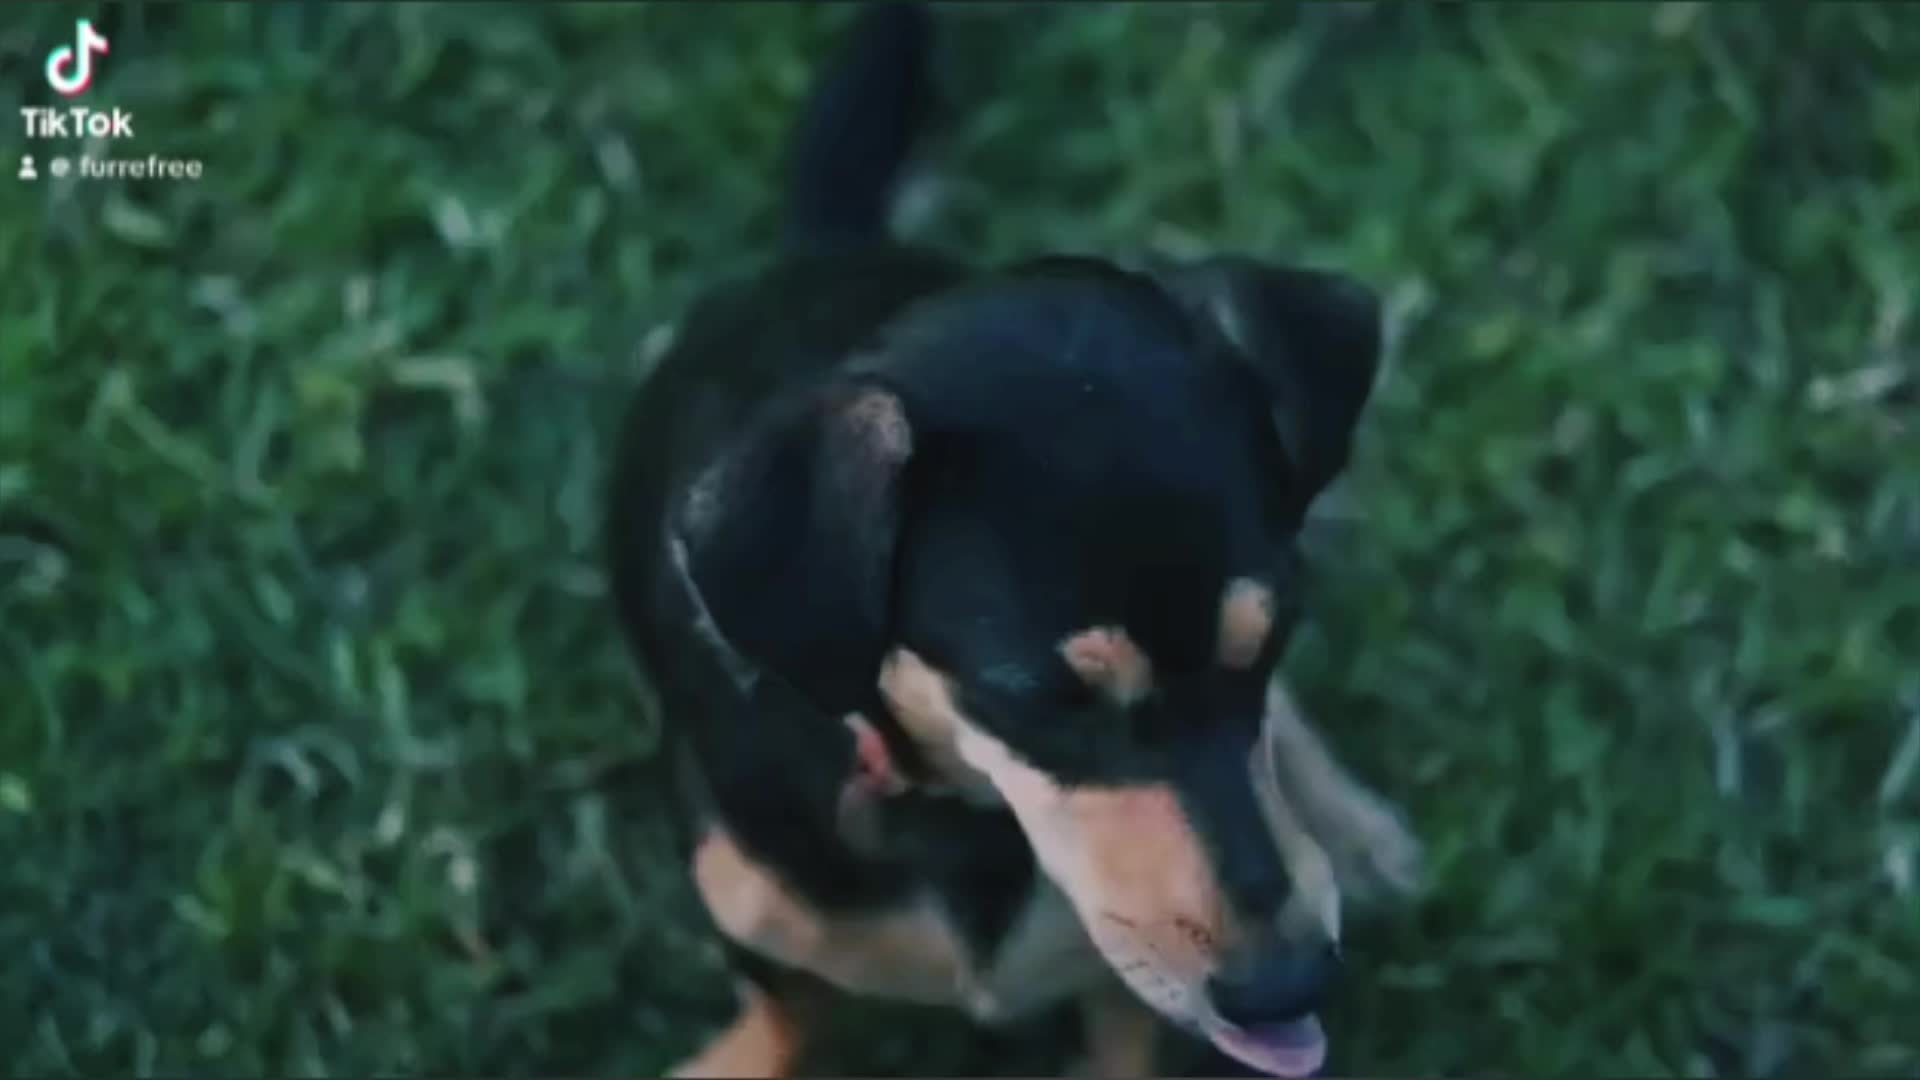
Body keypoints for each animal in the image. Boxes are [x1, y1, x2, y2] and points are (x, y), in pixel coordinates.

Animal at [606, 6, 1420, 1068]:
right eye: (1041, 699)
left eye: (1278, 633)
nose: (1289, 987)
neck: (957, 809)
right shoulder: (751, 909)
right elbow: (786, 1008)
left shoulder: (1125, 987)